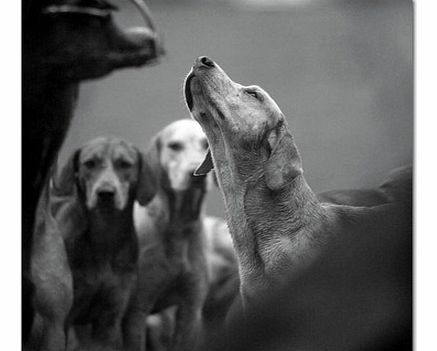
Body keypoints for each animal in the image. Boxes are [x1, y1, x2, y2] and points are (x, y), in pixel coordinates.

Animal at [122, 120, 237, 351]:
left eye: (205, 144)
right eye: (174, 146)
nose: (194, 173)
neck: (178, 227)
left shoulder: (190, 309)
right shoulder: (137, 311)